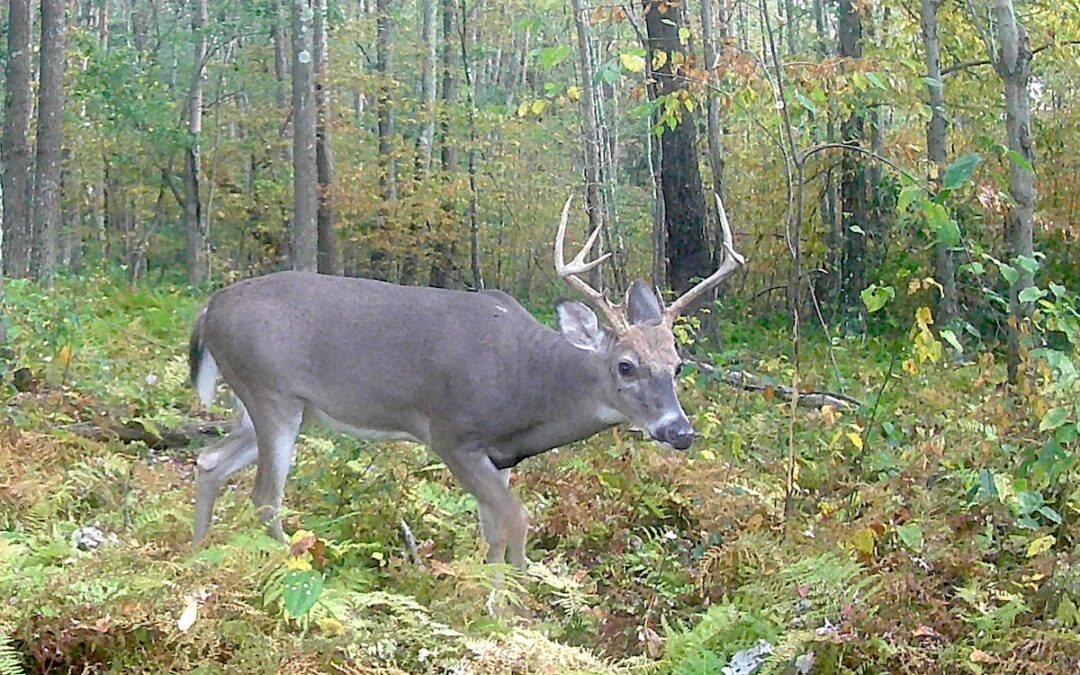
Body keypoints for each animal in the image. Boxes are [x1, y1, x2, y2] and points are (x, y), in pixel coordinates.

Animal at [188, 194, 744, 568]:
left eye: (678, 364)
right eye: (626, 365)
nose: (679, 431)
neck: (528, 387)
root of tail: (209, 308)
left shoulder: (500, 458)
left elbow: (492, 529)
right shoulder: (450, 433)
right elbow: (516, 520)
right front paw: (518, 617)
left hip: (260, 403)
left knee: (209, 461)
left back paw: (196, 553)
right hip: (271, 392)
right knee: (264, 496)